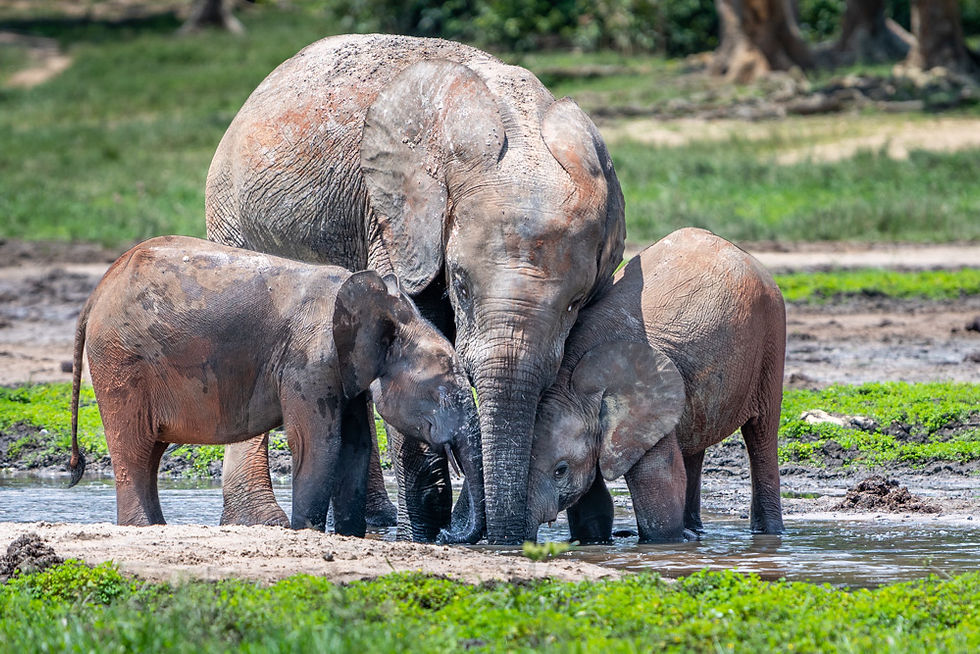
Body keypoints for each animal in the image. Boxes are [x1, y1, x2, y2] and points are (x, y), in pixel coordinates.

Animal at [66, 235, 484, 543]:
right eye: (442, 390)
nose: (445, 535)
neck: (388, 311)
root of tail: (98, 290)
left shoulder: (340, 368)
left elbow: (354, 446)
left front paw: (349, 536)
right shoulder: (307, 362)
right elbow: (318, 444)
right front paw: (308, 532)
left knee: (151, 451)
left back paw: (156, 528)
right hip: (120, 361)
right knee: (135, 450)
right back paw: (141, 528)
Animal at [205, 34, 625, 544]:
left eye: (574, 304)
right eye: (460, 285)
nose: (488, 536)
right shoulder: (395, 221)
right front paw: (421, 535)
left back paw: (376, 523)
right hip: (232, 218)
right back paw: (262, 522)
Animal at [526, 228, 786, 543]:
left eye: (560, 471)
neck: (571, 382)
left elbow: (658, 488)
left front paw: (667, 542)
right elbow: (593, 501)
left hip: (772, 333)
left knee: (762, 433)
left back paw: (769, 534)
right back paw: (694, 532)